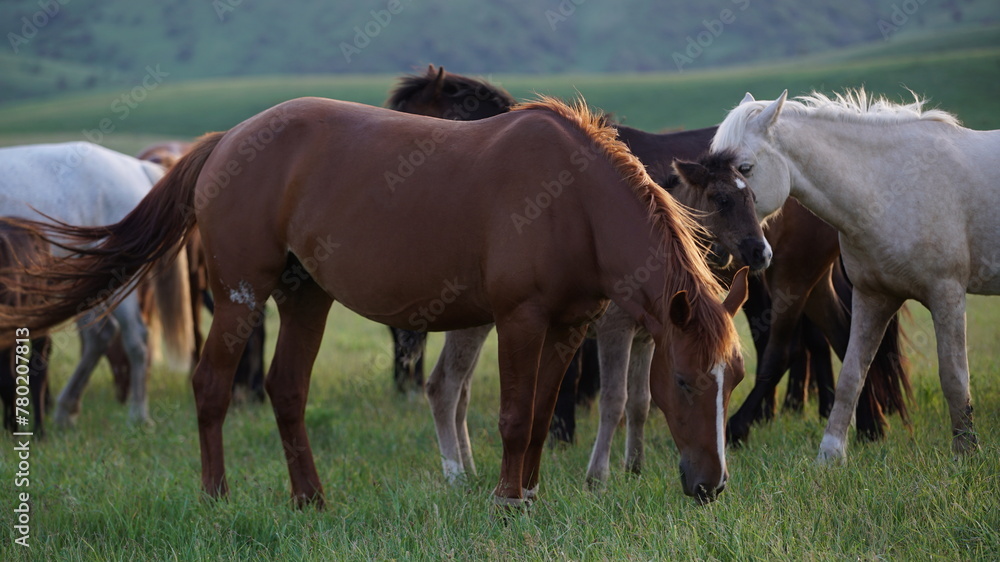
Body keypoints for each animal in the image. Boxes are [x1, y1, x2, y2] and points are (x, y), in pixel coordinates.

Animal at [716, 88, 996, 460]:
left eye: (745, 168)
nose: (716, 244)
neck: (889, 187)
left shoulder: (947, 294)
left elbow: (954, 377)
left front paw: (965, 451)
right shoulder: (873, 296)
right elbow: (852, 374)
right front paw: (831, 454)